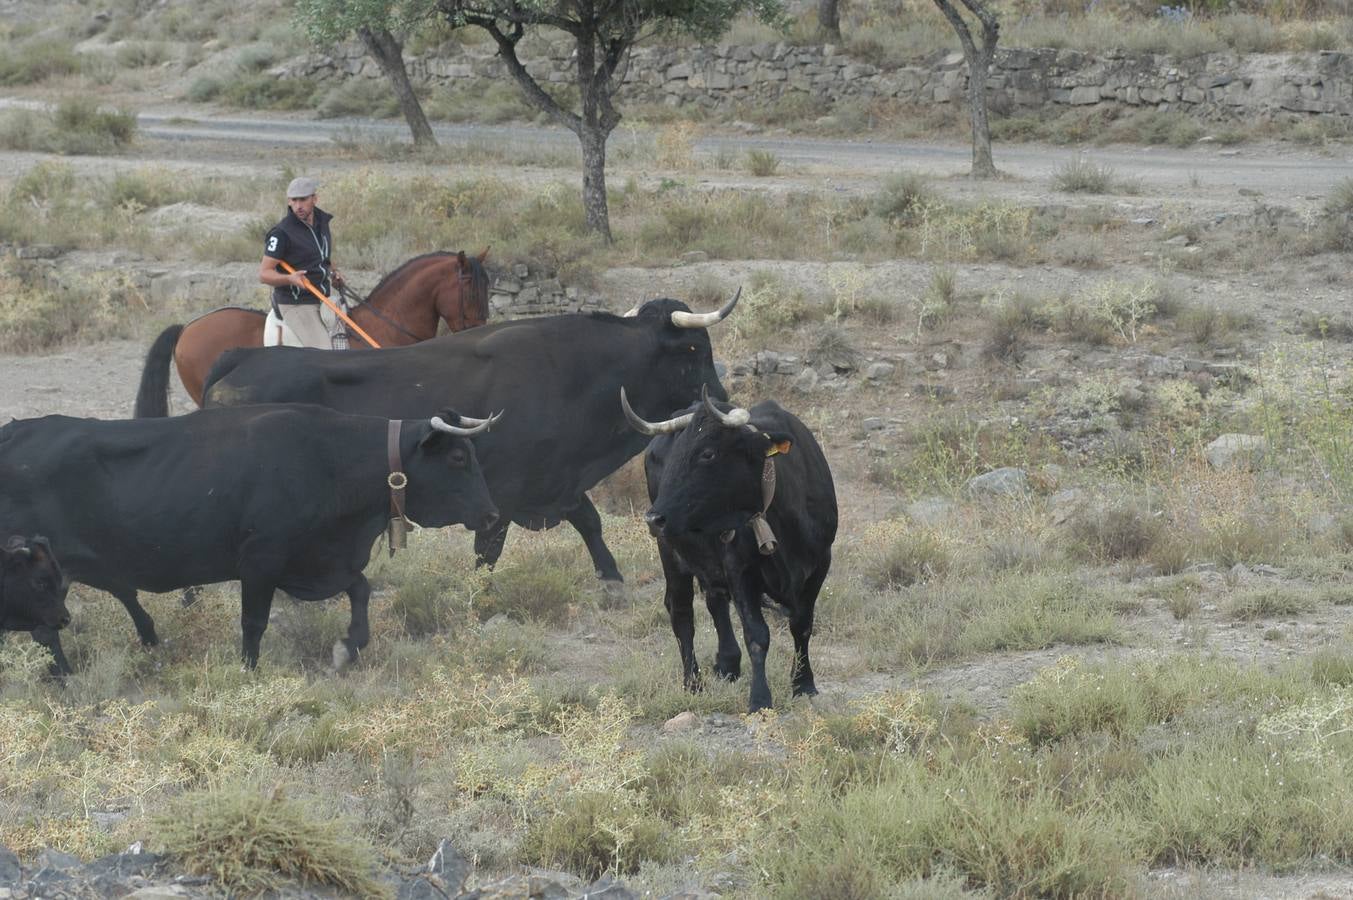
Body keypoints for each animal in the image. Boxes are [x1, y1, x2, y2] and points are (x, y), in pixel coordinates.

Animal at [197, 290, 741, 579]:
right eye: (695, 348)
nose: (724, 401)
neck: (574, 372)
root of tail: (242, 358)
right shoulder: (503, 494)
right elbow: (488, 550)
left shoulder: (557, 485)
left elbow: (590, 524)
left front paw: (612, 579)